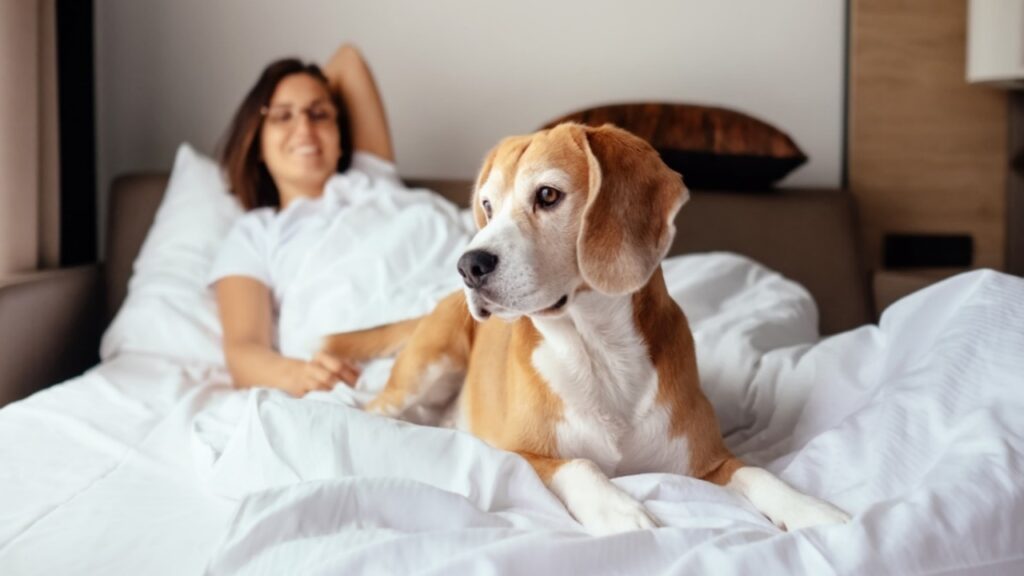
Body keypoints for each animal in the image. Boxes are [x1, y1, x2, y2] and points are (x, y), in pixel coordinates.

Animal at [319, 121, 847, 532]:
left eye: (548, 195)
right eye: (488, 206)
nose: (468, 265)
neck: (598, 351)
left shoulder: (711, 461)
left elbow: (760, 474)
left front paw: (812, 509)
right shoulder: (519, 453)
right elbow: (580, 464)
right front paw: (620, 510)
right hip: (426, 368)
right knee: (372, 407)